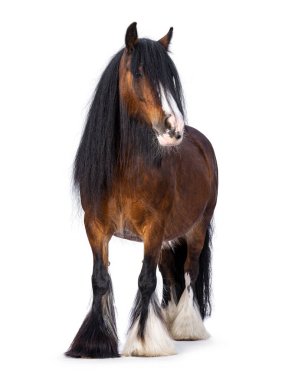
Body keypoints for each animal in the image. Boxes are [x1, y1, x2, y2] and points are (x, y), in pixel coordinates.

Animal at [66, 22, 217, 358]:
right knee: (171, 276)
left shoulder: (154, 227)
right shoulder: (95, 227)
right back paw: (170, 322)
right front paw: (93, 343)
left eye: (170, 78)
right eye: (138, 72)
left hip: (195, 229)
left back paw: (186, 328)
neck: (124, 170)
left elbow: (146, 280)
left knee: (189, 272)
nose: (174, 129)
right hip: (169, 239)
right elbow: (99, 278)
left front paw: (146, 342)